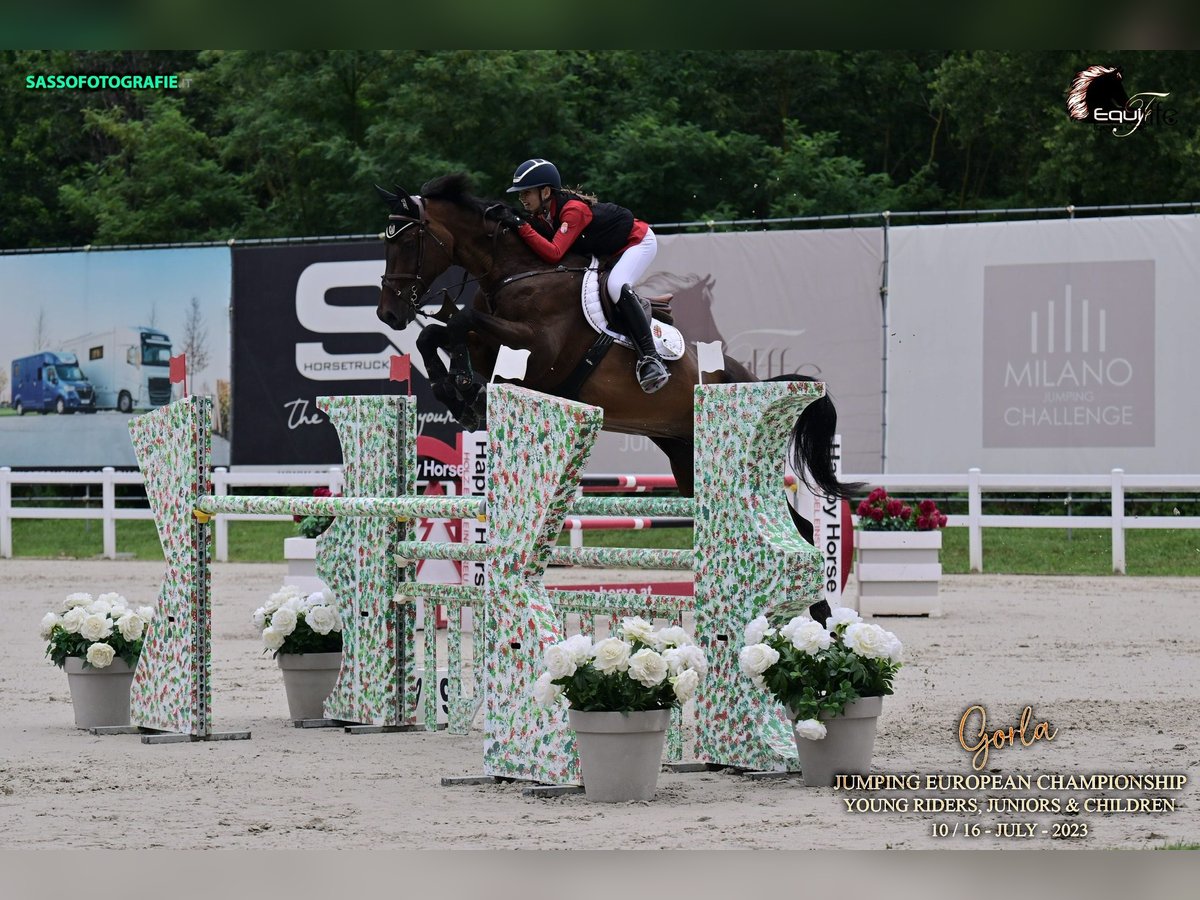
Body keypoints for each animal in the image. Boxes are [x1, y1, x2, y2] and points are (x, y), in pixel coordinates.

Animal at [376, 174, 864, 520]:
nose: (387, 314)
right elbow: (437, 334)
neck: (514, 270)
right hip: (685, 456)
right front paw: (457, 393)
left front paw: (462, 388)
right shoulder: (491, 344)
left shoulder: (537, 346)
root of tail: (753, 380)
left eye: (408, 240)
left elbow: (459, 322)